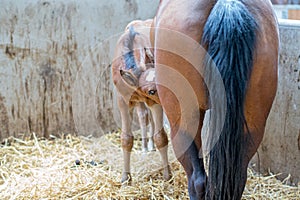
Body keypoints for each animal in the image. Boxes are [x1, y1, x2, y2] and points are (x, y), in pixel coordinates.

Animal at [111, 19, 171, 184]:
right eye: (151, 90)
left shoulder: (154, 103)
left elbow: (161, 137)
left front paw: (167, 176)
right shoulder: (123, 102)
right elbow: (126, 139)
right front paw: (125, 178)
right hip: (139, 102)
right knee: (144, 117)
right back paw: (146, 147)